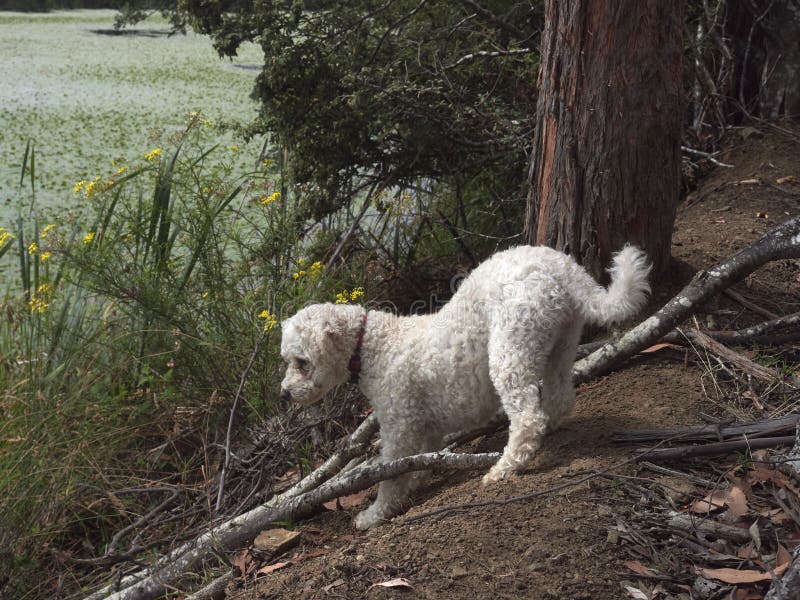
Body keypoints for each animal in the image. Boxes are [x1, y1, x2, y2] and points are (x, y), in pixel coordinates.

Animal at [282, 246, 648, 528]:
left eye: (301, 361)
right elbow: (421, 459)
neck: (373, 346)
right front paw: (417, 479)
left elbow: (391, 477)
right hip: (562, 342)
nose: (284, 393)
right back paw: (549, 431)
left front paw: (374, 515)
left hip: (510, 349)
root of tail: (563, 268)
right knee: (559, 396)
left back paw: (505, 466)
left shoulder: (399, 426)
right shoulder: (424, 426)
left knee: (528, 417)